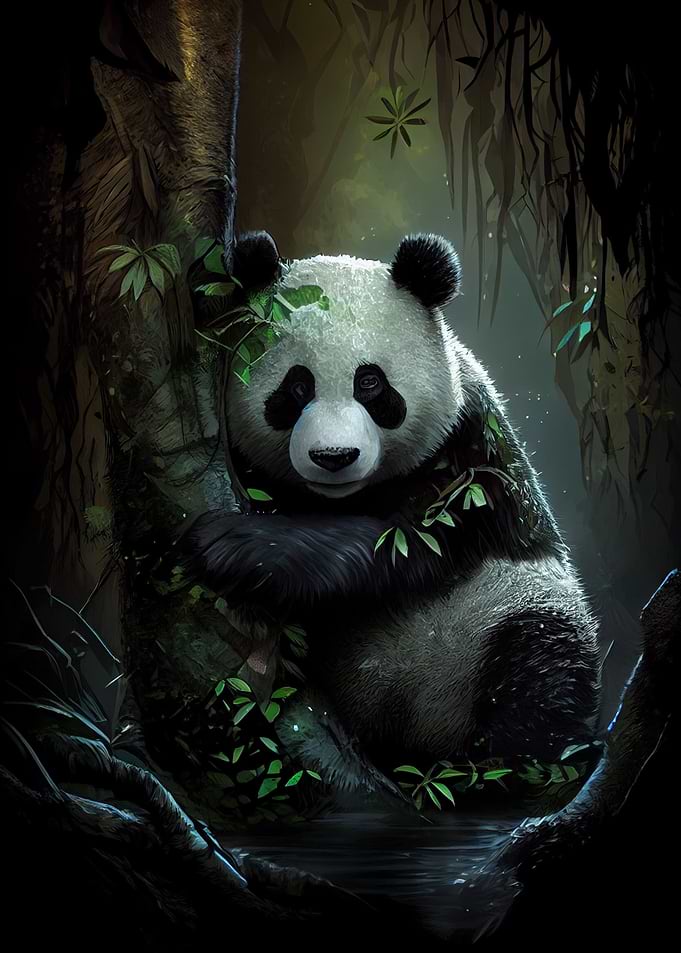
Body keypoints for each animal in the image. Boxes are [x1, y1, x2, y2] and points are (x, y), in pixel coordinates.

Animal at [184, 230, 600, 797]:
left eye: (371, 383)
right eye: (296, 387)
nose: (333, 457)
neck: (341, 498)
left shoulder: (470, 459)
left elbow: (401, 547)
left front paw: (230, 544)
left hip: (500, 611)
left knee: (542, 675)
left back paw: (503, 770)